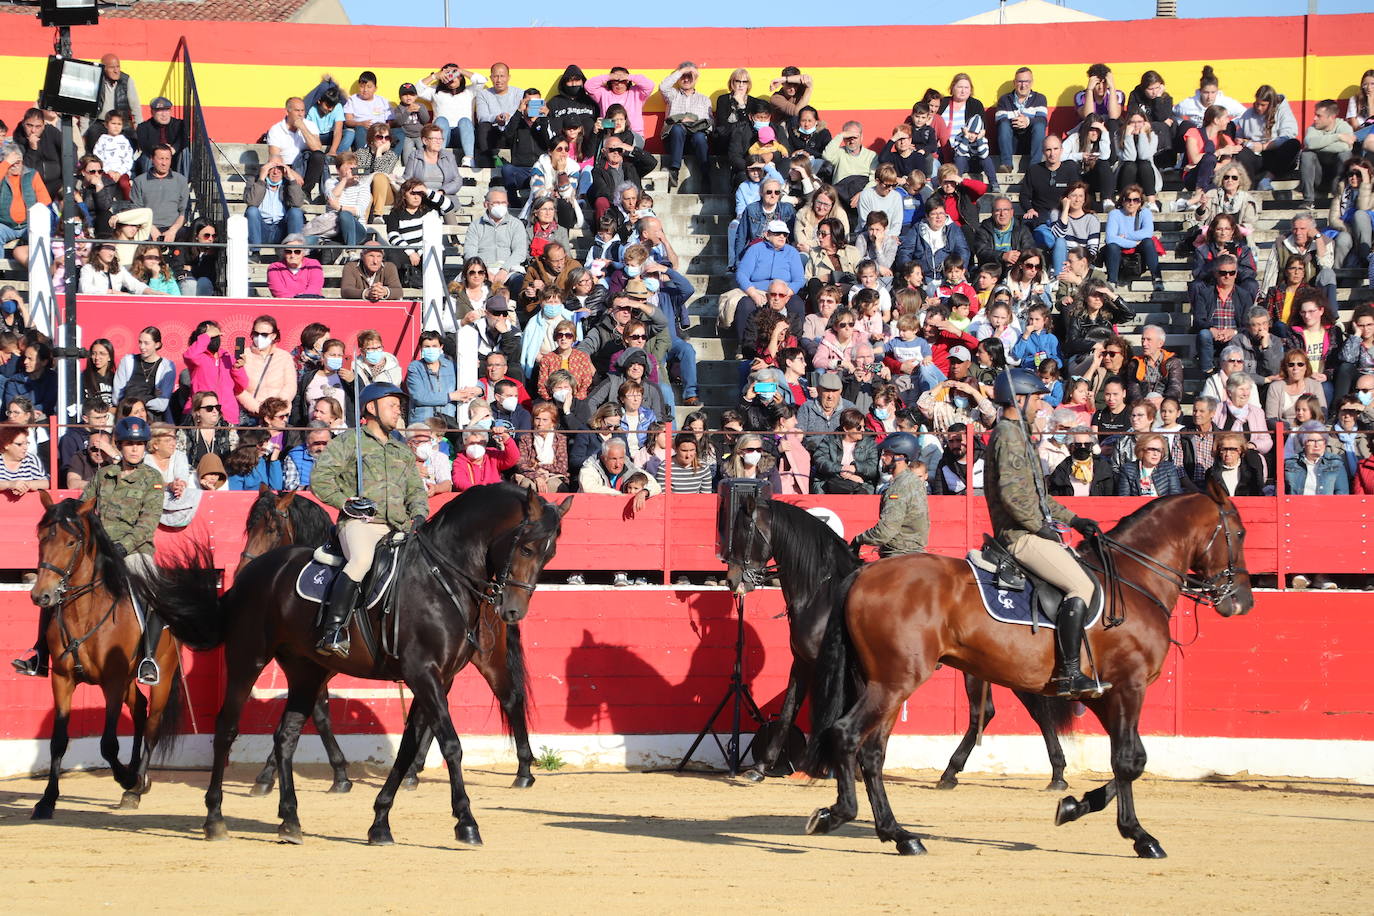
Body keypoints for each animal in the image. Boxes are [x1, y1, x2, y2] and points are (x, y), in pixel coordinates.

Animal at [29, 491, 185, 818]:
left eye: (71, 542)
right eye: (40, 537)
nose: (42, 596)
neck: (84, 612)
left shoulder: (112, 681)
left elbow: (108, 744)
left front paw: (126, 777)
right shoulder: (62, 680)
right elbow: (58, 741)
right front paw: (47, 800)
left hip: (161, 677)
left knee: (152, 724)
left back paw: (136, 785)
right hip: (128, 682)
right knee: (139, 710)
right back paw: (135, 780)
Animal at [233, 486, 538, 796]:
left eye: (271, 529)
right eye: (249, 528)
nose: (242, 570)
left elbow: (316, 714)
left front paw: (271, 775)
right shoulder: (319, 667)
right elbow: (319, 713)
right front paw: (336, 774)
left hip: (486, 658)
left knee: (508, 698)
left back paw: (521, 770)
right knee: (456, 708)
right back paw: (417, 770)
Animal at [719, 494, 1071, 791]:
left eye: (743, 531)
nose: (732, 580)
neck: (823, 590)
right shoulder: (804, 662)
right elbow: (789, 709)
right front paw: (762, 766)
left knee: (1024, 711)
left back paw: (1053, 773)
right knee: (996, 711)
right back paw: (959, 773)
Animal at [802, 486, 1253, 862]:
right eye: (1240, 532)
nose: (1242, 602)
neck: (1132, 580)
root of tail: (864, 573)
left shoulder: (1104, 693)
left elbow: (1134, 758)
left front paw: (1073, 806)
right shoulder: (1129, 687)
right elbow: (1129, 761)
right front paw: (1140, 836)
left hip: (886, 684)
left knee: (873, 753)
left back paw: (897, 834)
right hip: (894, 683)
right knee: (847, 736)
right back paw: (840, 815)